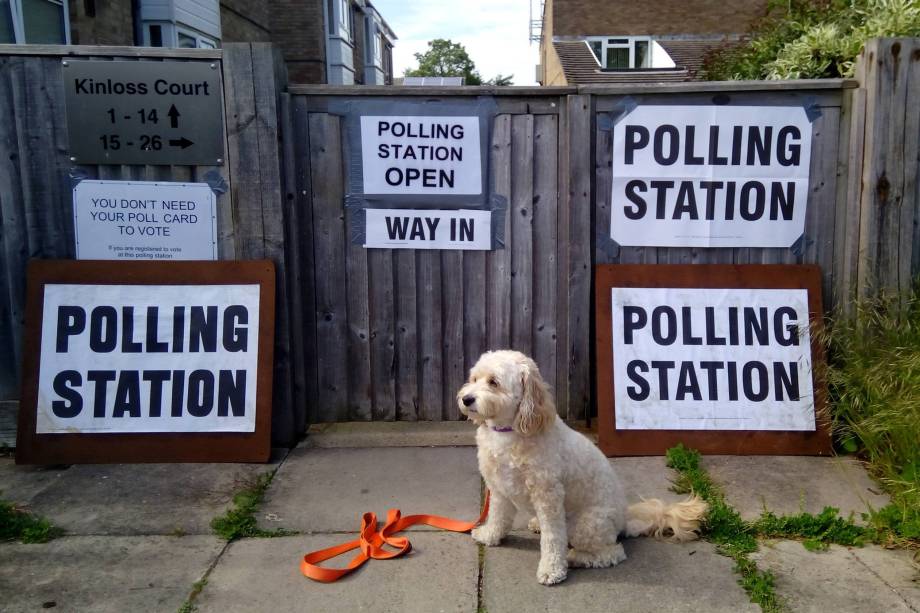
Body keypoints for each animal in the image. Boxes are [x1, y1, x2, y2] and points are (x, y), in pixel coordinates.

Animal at [456, 350, 708, 584]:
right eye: (474, 378)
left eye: (493, 382)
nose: (466, 399)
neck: (509, 431)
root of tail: (625, 520)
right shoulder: (499, 488)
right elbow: (498, 516)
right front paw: (489, 536)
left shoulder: (548, 496)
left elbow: (552, 539)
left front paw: (552, 570)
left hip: (585, 526)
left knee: (612, 553)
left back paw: (575, 557)